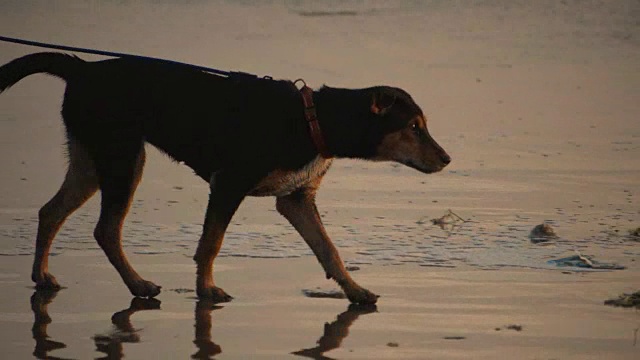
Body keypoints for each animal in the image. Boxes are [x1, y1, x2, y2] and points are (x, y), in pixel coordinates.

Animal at [0, 52, 450, 304]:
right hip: (123, 158)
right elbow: (211, 243)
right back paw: (138, 285)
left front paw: (355, 292)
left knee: (50, 211)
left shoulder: (296, 199)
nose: (447, 159)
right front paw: (206, 291)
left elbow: (329, 251)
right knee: (105, 229)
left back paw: (42, 277)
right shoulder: (229, 184)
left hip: (92, 160)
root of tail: (82, 70)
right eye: (414, 127)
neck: (315, 121)